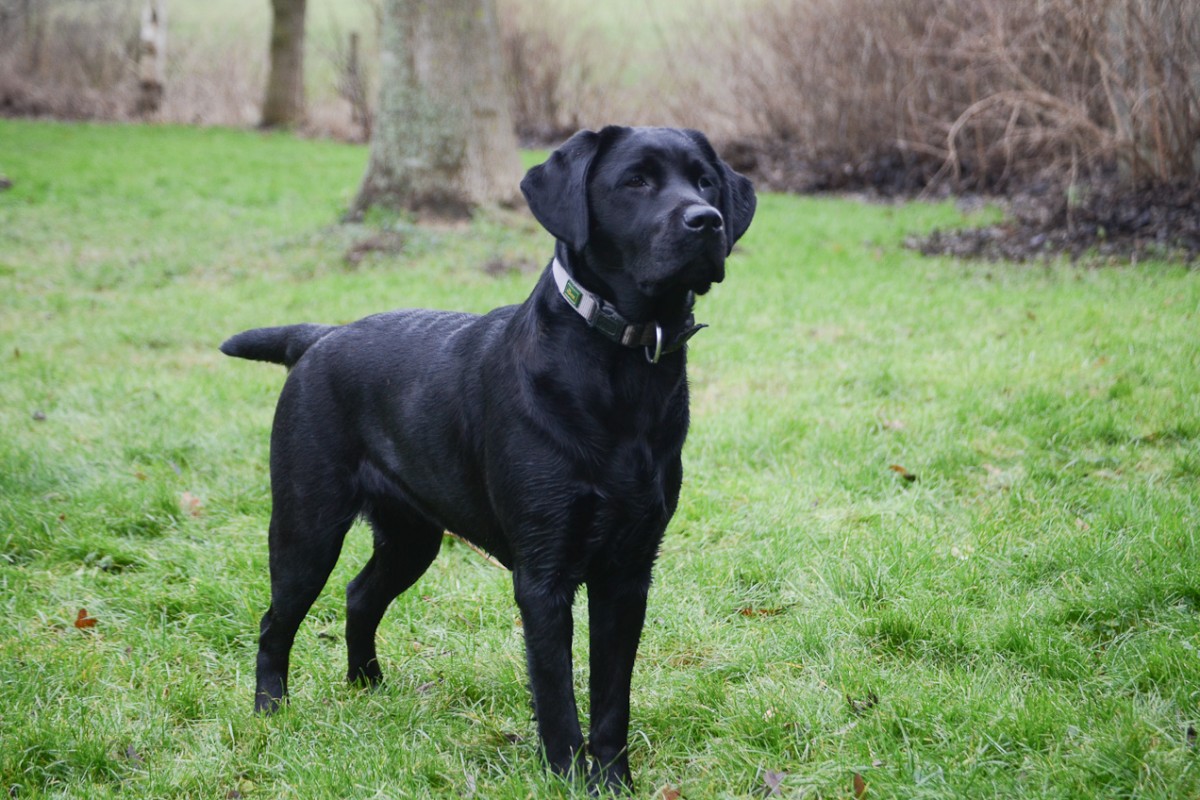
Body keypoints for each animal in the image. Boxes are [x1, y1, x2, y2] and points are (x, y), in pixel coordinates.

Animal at [220, 128, 753, 791]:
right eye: (635, 181)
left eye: (705, 180)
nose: (706, 220)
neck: (620, 371)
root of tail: (319, 338)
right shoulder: (543, 574)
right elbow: (555, 692)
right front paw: (566, 777)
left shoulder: (629, 569)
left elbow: (612, 694)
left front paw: (613, 781)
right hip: (306, 527)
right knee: (276, 622)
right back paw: (271, 711)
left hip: (411, 536)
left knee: (360, 595)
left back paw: (367, 687)